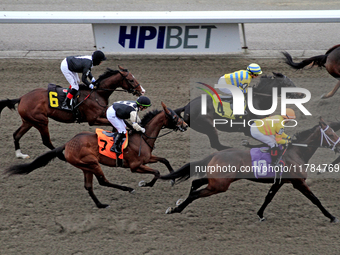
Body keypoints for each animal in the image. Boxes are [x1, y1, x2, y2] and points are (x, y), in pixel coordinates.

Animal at [0, 64, 145, 158]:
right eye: (131, 80)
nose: (142, 91)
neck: (96, 94)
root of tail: (22, 98)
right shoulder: (93, 120)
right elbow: (116, 124)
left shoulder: (103, 113)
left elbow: (124, 122)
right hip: (41, 121)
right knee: (46, 141)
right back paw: (61, 155)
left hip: (28, 121)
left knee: (16, 135)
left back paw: (20, 155)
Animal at [3, 102, 187, 209]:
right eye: (175, 116)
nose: (185, 125)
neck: (141, 138)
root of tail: (68, 144)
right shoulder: (135, 166)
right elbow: (156, 172)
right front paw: (145, 184)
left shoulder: (147, 158)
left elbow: (165, 160)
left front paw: (172, 177)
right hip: (92, 163)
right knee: (103, 181)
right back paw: (128, 189)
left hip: (86, 167)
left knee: (89, 186)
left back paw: (100, 204)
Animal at [161, 118, 340, 223]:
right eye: (331, 134)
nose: (339, 145)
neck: (296, 152)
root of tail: (216, 153)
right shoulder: (298, 182)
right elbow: (315, 199)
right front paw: (331, 216)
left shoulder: (280, 181)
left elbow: (268, 197)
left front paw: (260, 214)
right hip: (219, 185)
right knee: (195, 193)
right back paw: (176, 209)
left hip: (218, 179)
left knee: (196, 183)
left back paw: (178, 204)